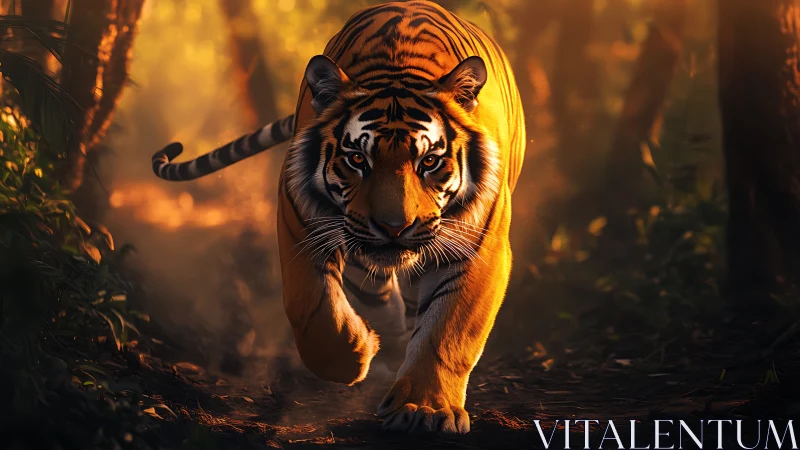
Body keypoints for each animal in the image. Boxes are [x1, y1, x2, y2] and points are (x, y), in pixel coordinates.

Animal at [151, 0, 525, 434]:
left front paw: (424, 410)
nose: (395, 227)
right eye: (357, 159)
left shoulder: (479, 245)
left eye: (429, 161)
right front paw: (356, 354)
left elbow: (448, 332)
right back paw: (390, 334)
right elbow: (311, 309)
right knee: (376, 289)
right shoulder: (299, 222)